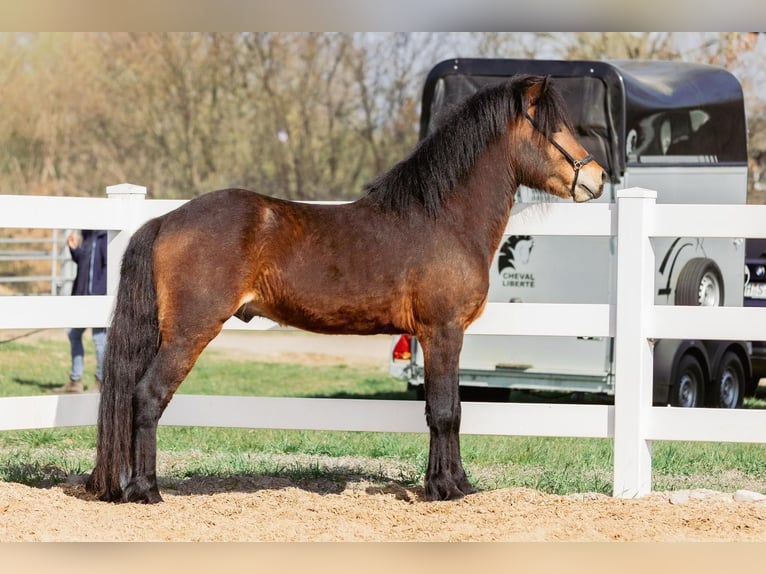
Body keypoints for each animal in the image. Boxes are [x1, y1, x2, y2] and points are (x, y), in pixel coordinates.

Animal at [86, 75, 606, 504]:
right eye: (555, 129)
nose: (597, 178)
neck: (443, 218)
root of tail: (166, 219)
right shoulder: (442, 331)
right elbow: (442, 411)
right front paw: (443, 489)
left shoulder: (446, 335)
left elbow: (453, 410)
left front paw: (458, 484)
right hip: (189, 332)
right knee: (147, 397)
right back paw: (146, 491)